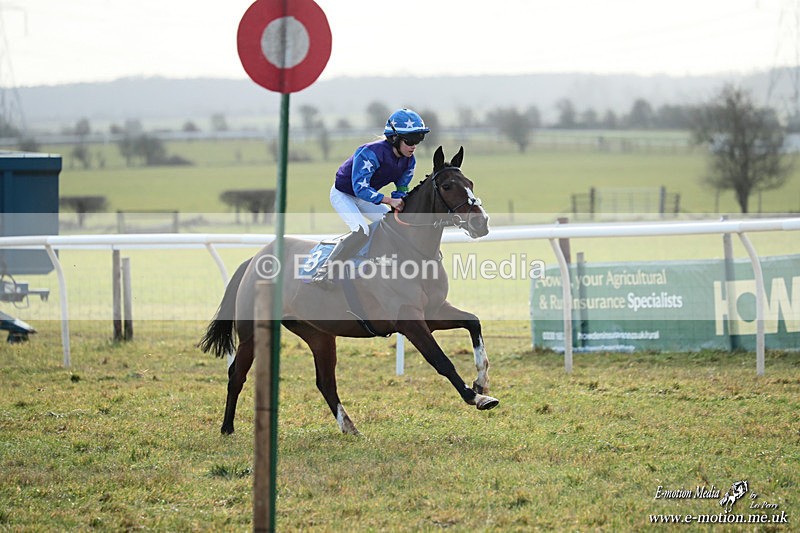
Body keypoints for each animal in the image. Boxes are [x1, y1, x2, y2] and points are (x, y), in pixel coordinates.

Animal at [199, 146, 498, 435]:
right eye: (447, 186)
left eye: (470, 183)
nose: (481, 223)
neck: (409, 249)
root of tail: (253, 259)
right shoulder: (409, 320)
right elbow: (441, 360)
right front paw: (476, 397)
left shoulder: (433, 312)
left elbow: (473, 322)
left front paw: (482, 381)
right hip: (252, 331)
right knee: (237, 374)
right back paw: (227, 428)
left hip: (318, 334)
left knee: (325, 382)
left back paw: (349, 426)